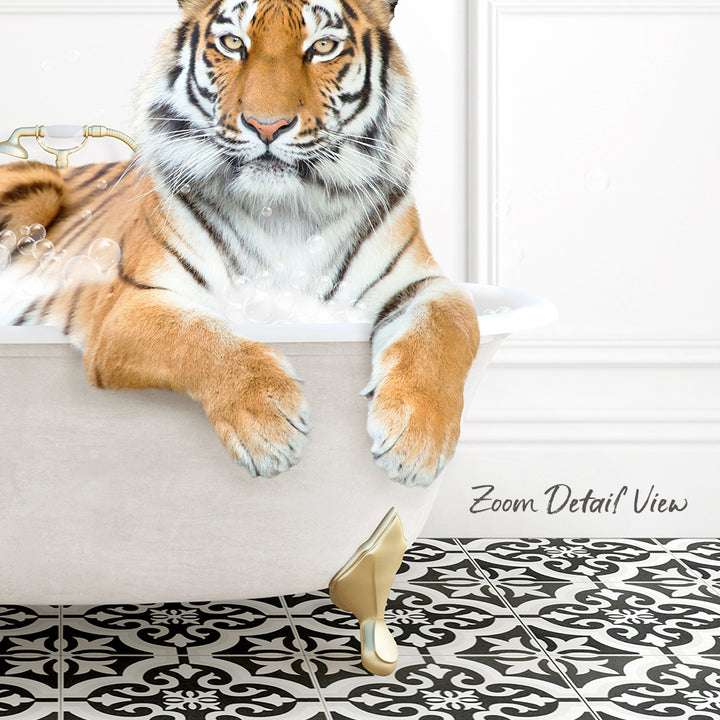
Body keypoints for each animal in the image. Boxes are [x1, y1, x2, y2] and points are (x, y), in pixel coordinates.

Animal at [0, 0, 479, 487]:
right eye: (233, 43)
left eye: (323, 46)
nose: (267, 126)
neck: (284, 212)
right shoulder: (130, 305)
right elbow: (198, 336)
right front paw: (268, 426)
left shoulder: (423, 283)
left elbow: (449, 325)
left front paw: (416, 440)